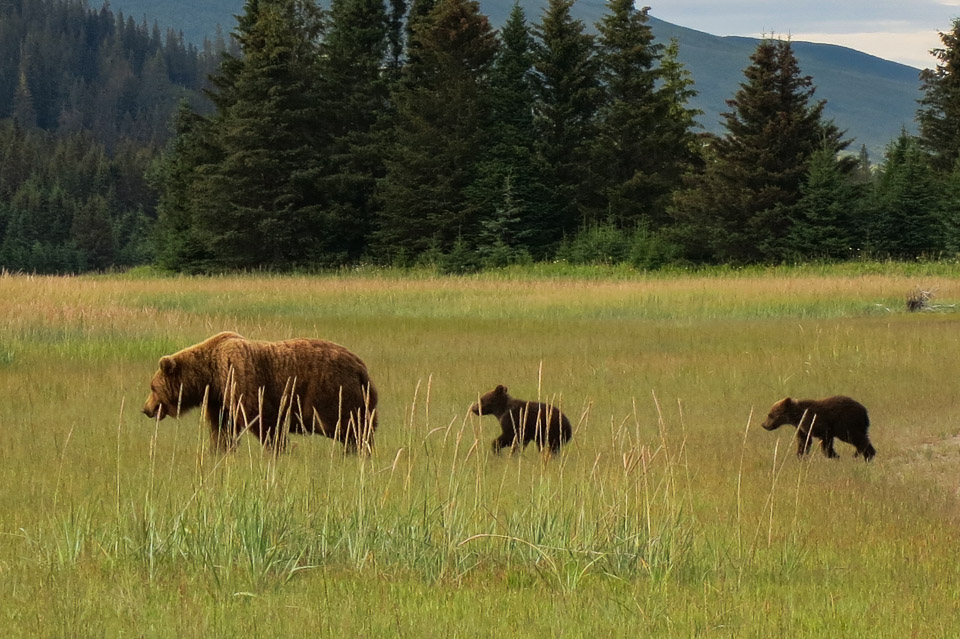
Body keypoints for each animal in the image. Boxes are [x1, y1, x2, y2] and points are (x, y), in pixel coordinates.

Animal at [142, 332, 378, 452]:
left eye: (153, 387)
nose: (146, 409)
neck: (209, 375)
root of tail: (361, 367)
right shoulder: (220, 398)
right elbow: (222, 428)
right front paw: (220, 450)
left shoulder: (240, 377)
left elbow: (263, 420)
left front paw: (279, 448)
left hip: (333, 392)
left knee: (351, 428)